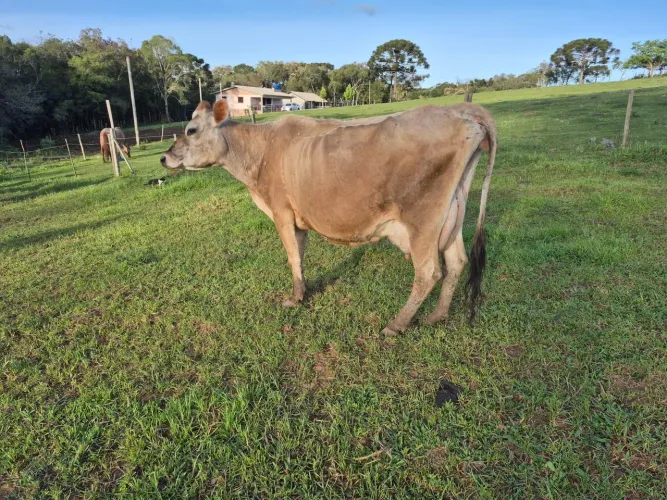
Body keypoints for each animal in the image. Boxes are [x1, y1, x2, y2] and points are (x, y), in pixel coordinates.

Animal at [160, 100, 497, 335]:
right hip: (452, 213)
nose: (163, 157)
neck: (258, 152)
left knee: (428, 272)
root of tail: (458, 110)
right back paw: (436, 316)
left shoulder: (281, 210)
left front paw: (295, 299)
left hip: (423, 217)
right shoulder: (298, 217)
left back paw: (396, 324)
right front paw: (302, 292)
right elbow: (301, 255)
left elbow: (292, 257)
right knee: (457, 262)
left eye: (191, 130)